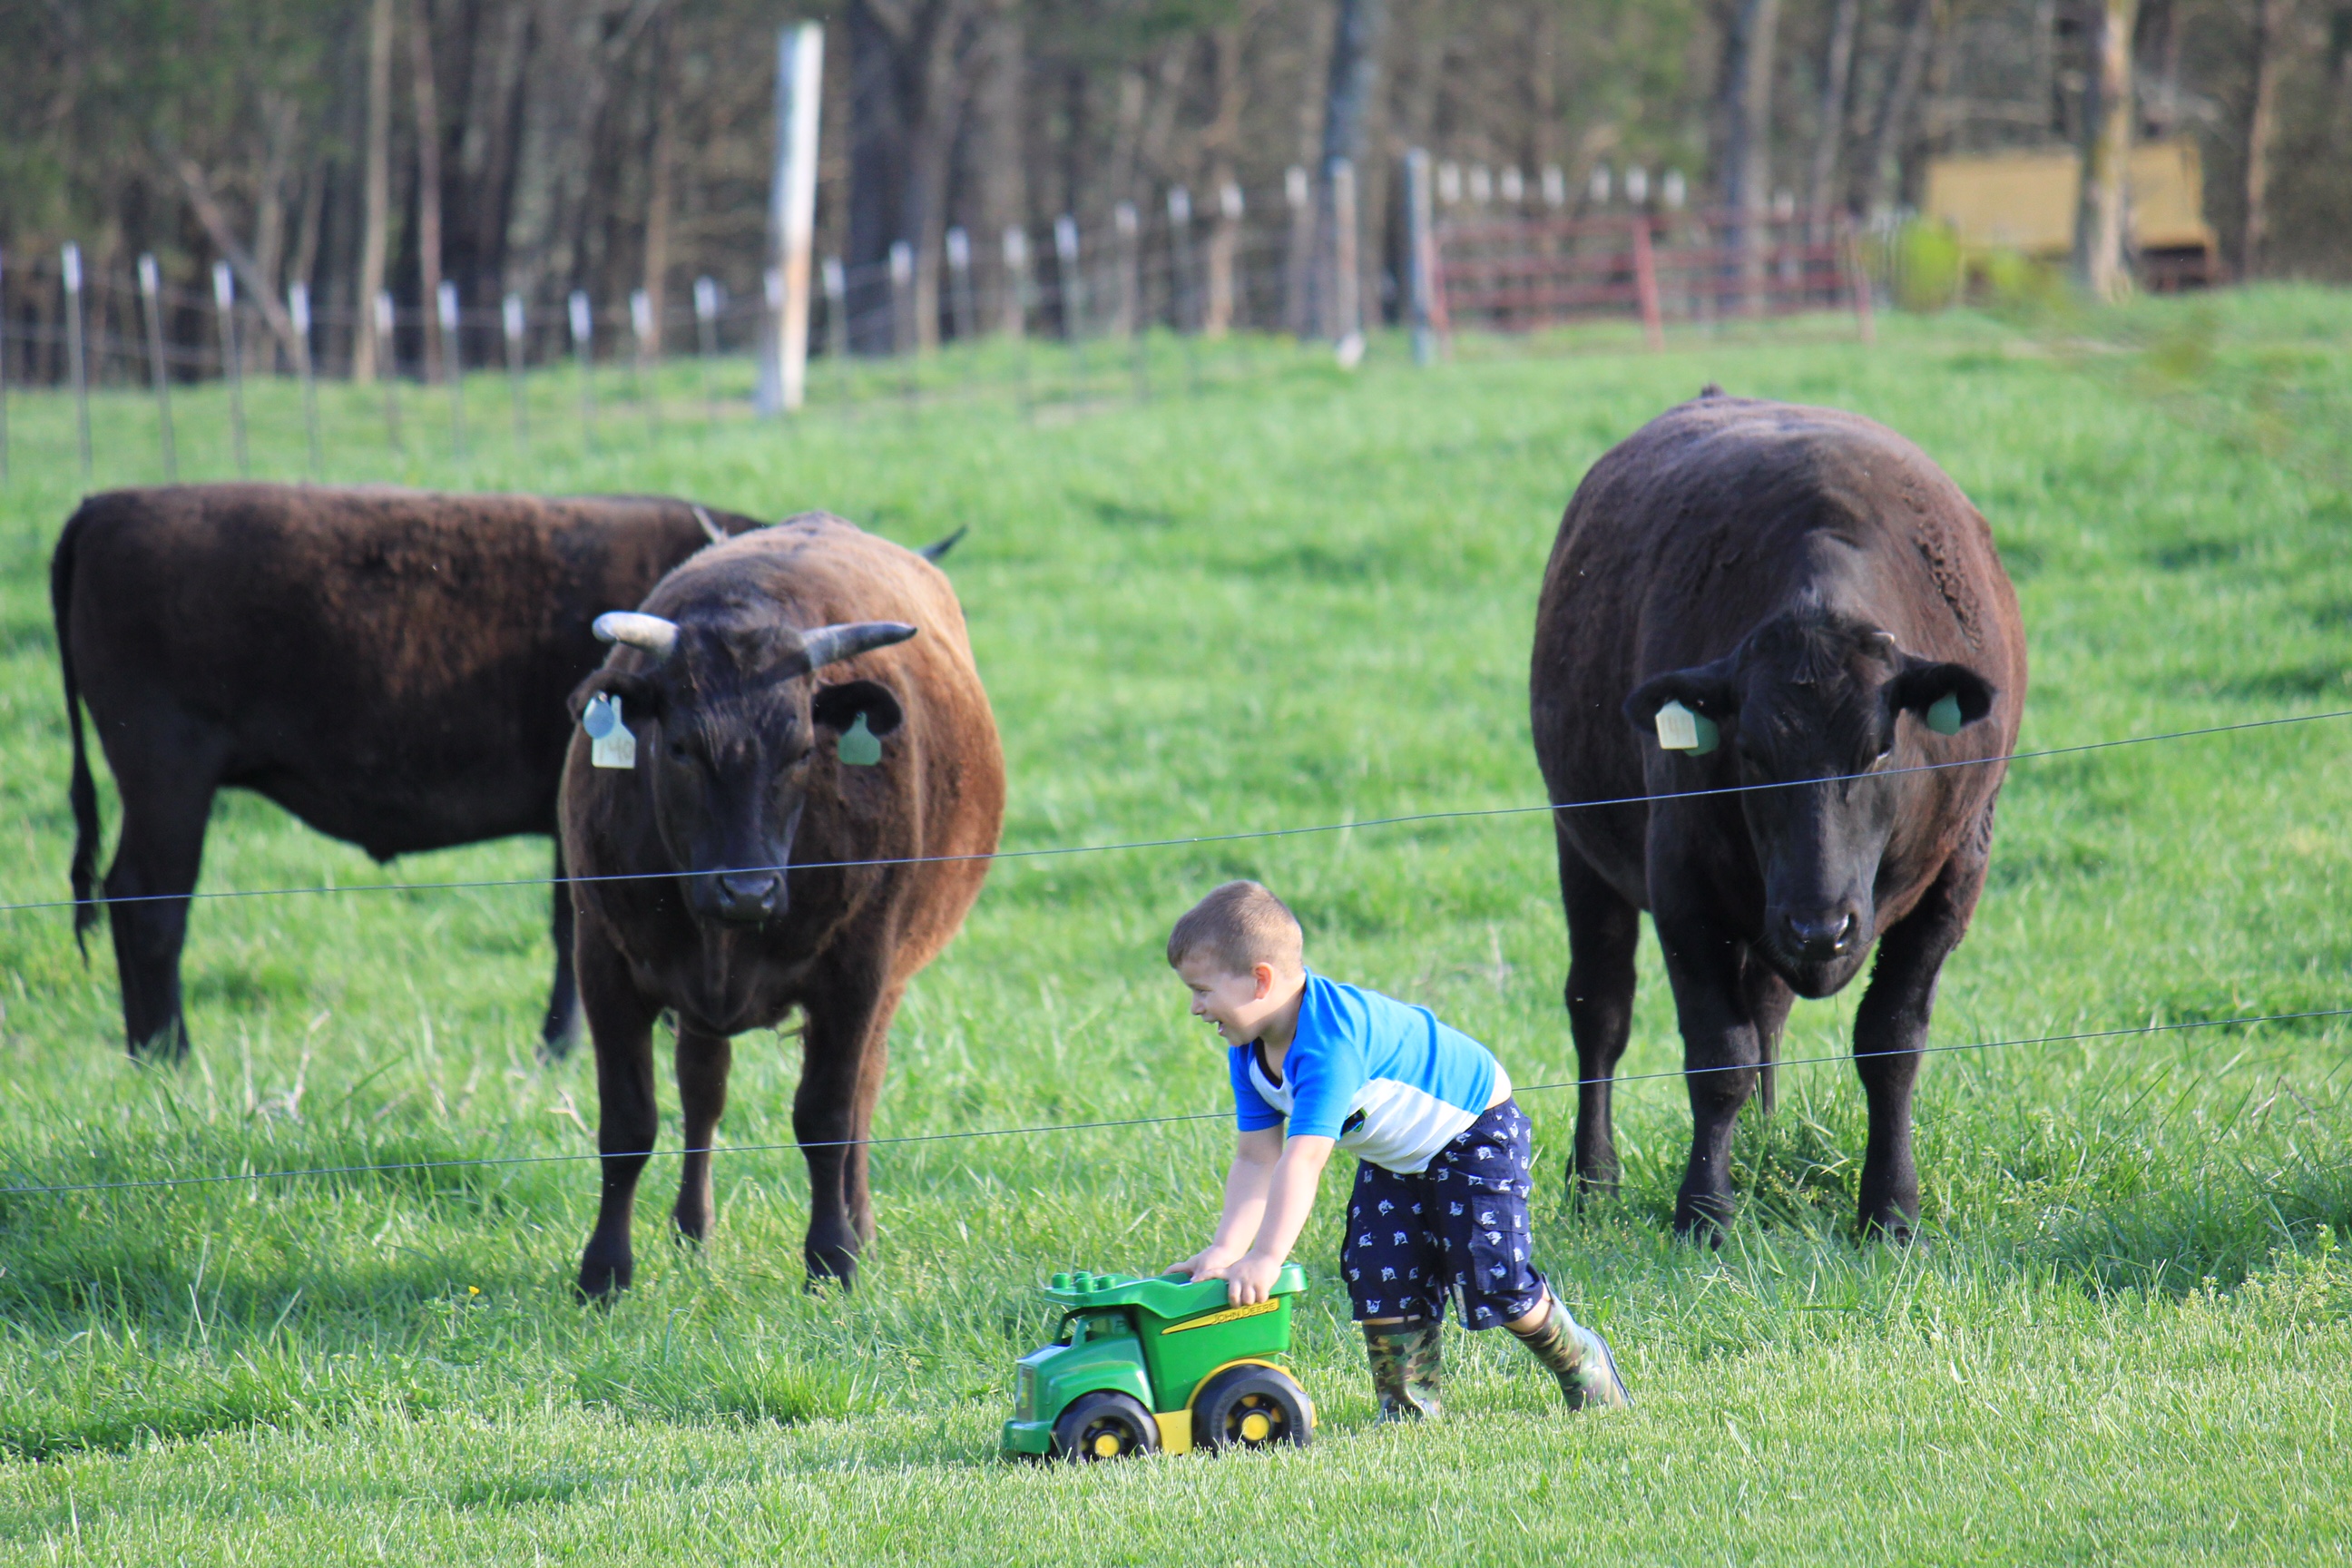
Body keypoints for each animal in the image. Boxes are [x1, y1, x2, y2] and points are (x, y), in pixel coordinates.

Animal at [559, 510, 1002, 1298]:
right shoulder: (603, 960)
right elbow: (628, 1126)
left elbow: (826, 1116)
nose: (749, 890)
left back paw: (858, 1225)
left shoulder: (856, 970)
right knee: (703, 1087)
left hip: (887, 982)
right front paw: (604, 1272)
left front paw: (832, 1259)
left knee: (861, 1093)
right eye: (681, 747)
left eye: (802, 750)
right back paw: (692, 1229)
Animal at [1533, 390, 2032, 1240]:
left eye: (1878, 749)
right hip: (1584, 850)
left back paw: (1765, 1143)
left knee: (1766, 1007)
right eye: (1752, 753)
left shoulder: (1959, 868)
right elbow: (1717, 1054)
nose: (1819, 926)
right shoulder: (1682, 883)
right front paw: (1704, 1209)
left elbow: (1890, 1040)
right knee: (1600, 1010)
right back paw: (1594, 1180)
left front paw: (1890, 1208)